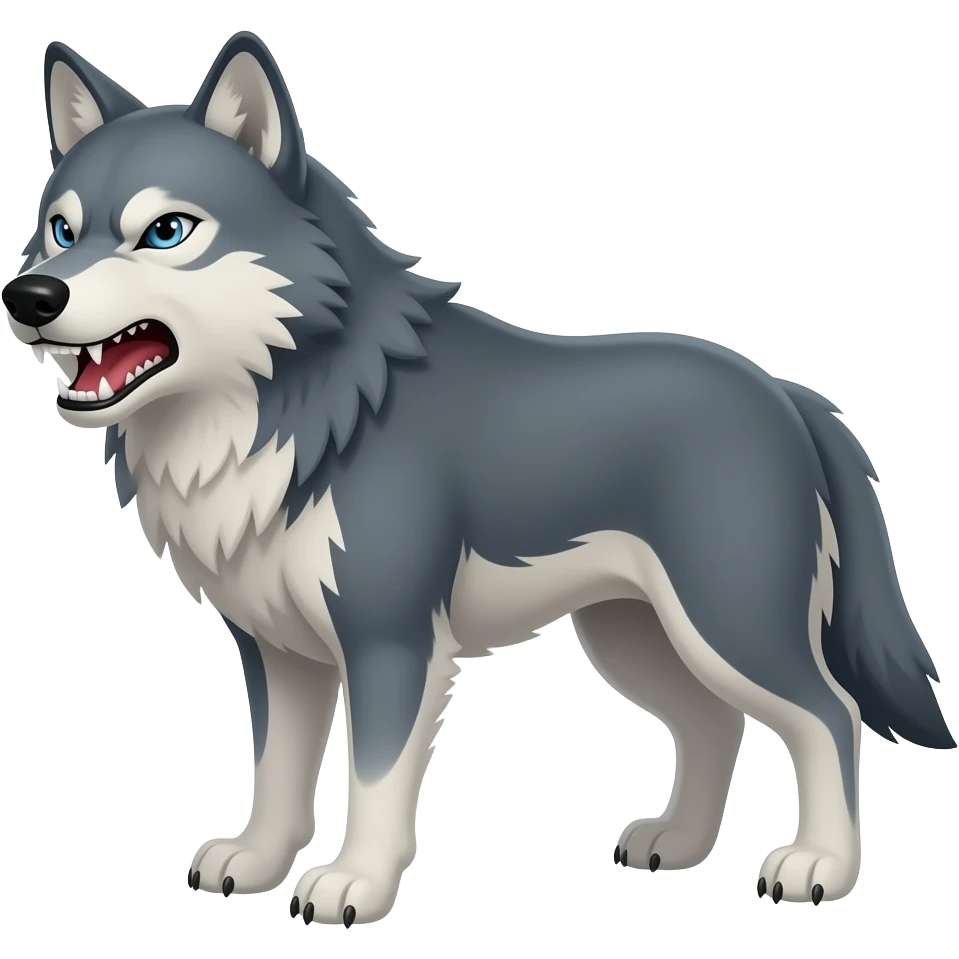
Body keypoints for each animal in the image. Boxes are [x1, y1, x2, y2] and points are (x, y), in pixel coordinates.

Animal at [3, 31, 954, 926]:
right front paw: (257, 862)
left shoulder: (391, 641)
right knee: (713, 721)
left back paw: (818, 866)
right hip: (636, 638)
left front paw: (353, 884)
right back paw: (677, 843)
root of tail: (786, 391)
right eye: (60, 229)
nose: (30, 296)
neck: (299, 405)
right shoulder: (277, 649)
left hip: (727, 623)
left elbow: (373, 781)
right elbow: (274, 770)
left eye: (165, 231)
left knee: (828, 714)